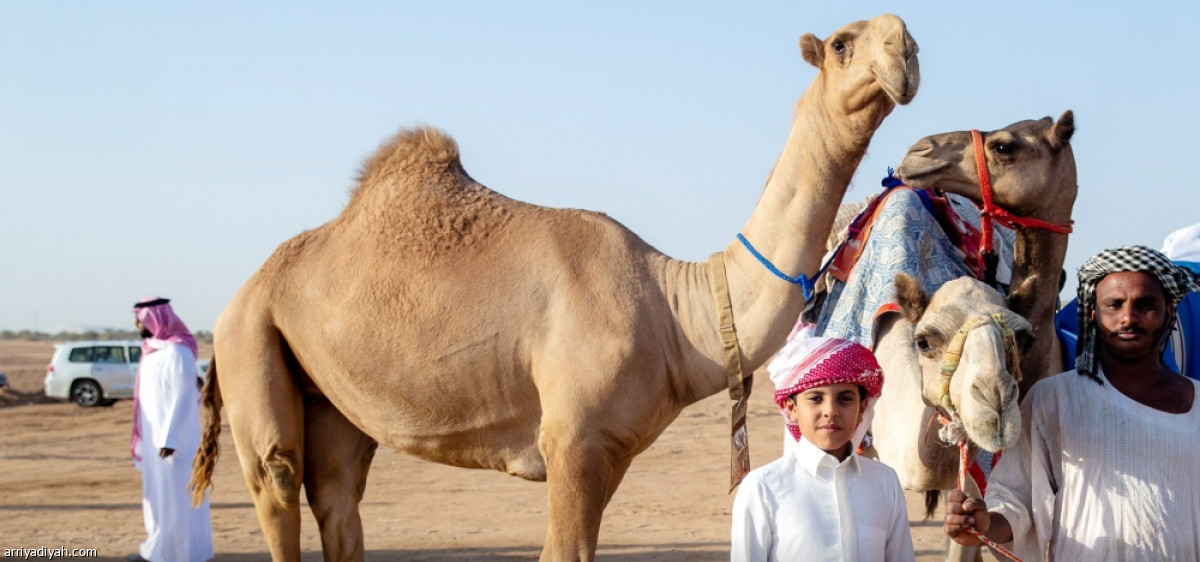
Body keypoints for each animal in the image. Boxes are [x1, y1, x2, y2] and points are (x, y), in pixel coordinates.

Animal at [189, 15, 916, 559]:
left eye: (903, 39)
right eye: (844, 42)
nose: (905, 49)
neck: (676, 315)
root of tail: (244, 290)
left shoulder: (612, 449)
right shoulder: (572, 441)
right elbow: (561, 550)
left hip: (332, 397)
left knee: (338, 496)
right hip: (248, 334)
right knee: (277, 476)